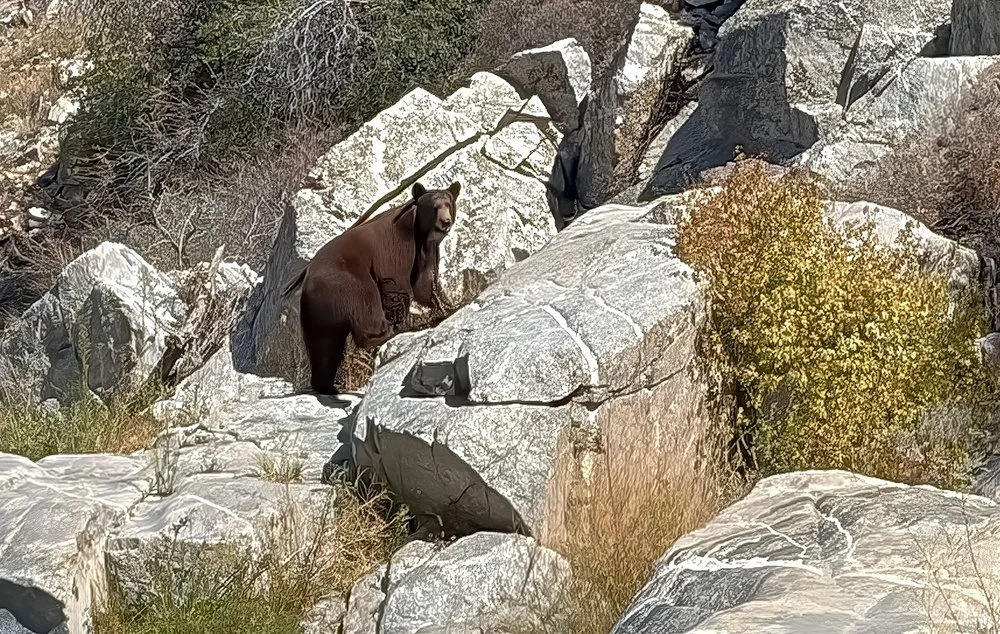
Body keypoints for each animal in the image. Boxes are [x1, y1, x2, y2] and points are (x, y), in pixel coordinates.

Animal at [282, 181, 461, 394]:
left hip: (318, 309)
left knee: (323, 344)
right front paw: (406, 322)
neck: (421, 234)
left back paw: (326, 385)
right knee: (367, 309)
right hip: (349, 281)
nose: (445, 221)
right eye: (434, 207)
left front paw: (445, 306)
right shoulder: (397, 249)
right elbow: (399, 286)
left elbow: (425, 285)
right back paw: (384, 333)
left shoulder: (427, 253)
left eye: (448, 204)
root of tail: (308, 273)